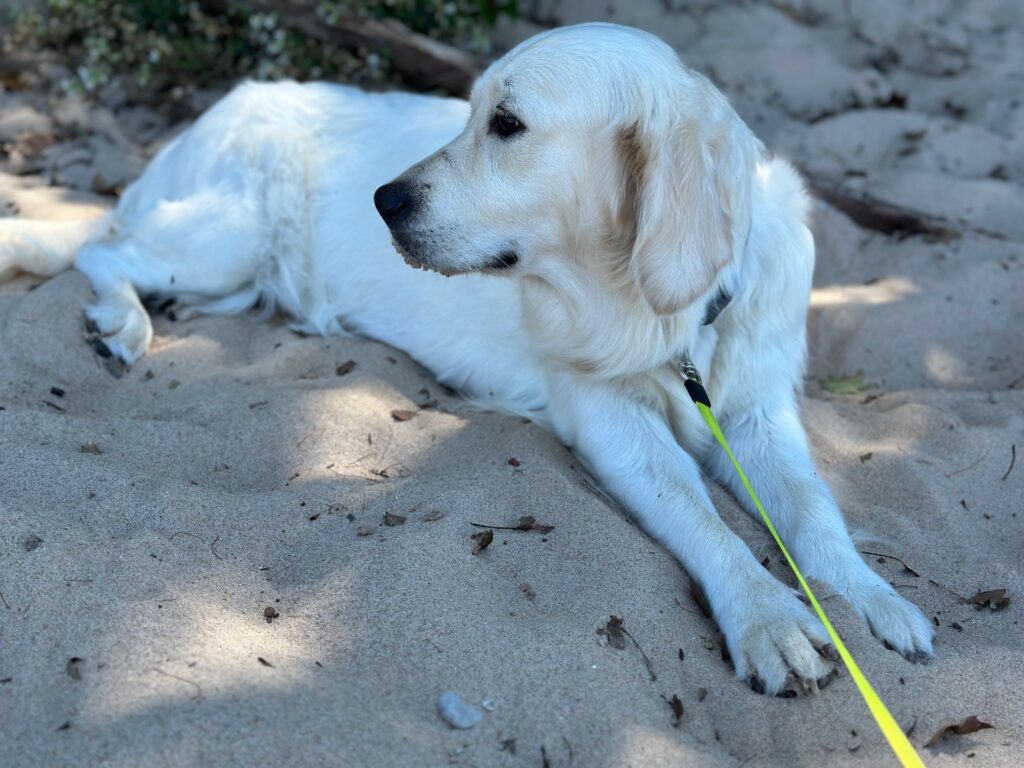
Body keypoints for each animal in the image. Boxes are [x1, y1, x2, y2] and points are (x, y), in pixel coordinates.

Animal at [0, 23, 933, 695]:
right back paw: (124, 325)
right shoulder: (606, 413)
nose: (383, 199)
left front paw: (872, 599)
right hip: (226, 235)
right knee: (104, 251)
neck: (657, 312)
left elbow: (813, 510)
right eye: (468, 108)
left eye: (507, 125)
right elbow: (698, 513)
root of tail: (207, 115)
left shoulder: (756, 407)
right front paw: (767, 616)